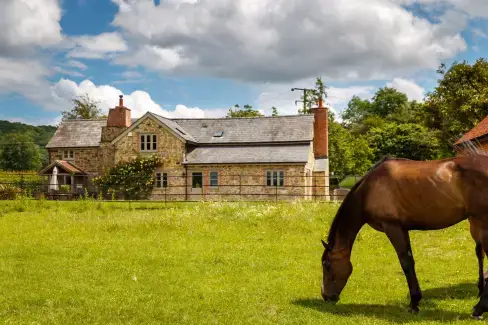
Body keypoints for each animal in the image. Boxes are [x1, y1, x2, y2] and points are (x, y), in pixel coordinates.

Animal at [320, 154, 488, 316]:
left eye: (327, 264)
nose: (326, 296)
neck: (369, 190)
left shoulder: (392, 227)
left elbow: (405, 263)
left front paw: (413, 303)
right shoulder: (403, 229)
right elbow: (410, 261)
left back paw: (479, 308)